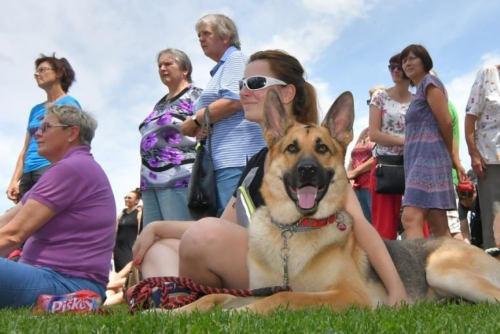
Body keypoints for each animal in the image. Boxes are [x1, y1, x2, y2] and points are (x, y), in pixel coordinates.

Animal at [177, 90, 500, 314]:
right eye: (292, 148)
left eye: (322, 148)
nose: (307, 170)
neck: (295, 230)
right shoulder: (256, 289)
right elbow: (214, 294)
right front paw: (177, 310)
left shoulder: (349, 296)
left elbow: (287, 295)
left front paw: (242, 313)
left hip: (440, 269)